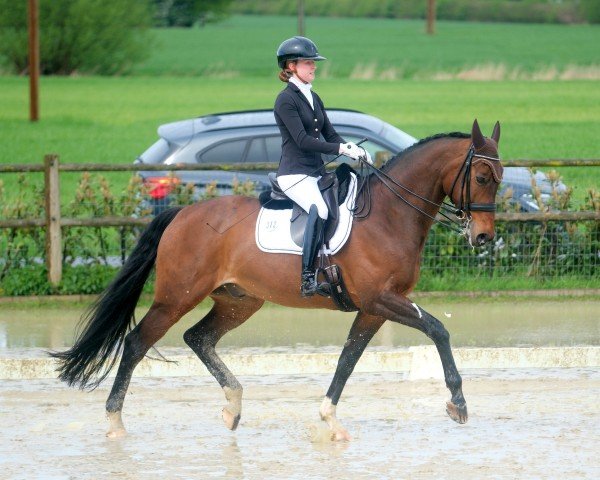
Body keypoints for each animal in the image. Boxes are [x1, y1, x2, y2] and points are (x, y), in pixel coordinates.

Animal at [50, 119, 502, 438]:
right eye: (481, 178)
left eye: (498, 180)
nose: (483, 237)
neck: (390, 214)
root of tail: (180, 214)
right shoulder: (381, 299)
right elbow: (438, 330)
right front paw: (458, 402)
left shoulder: (374, 308)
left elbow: (348, 359)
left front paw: (329, 418)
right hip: (177, 296)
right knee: (136, 343)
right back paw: (115, 423)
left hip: (239, 300)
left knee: (198, 338)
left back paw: (233, 405)